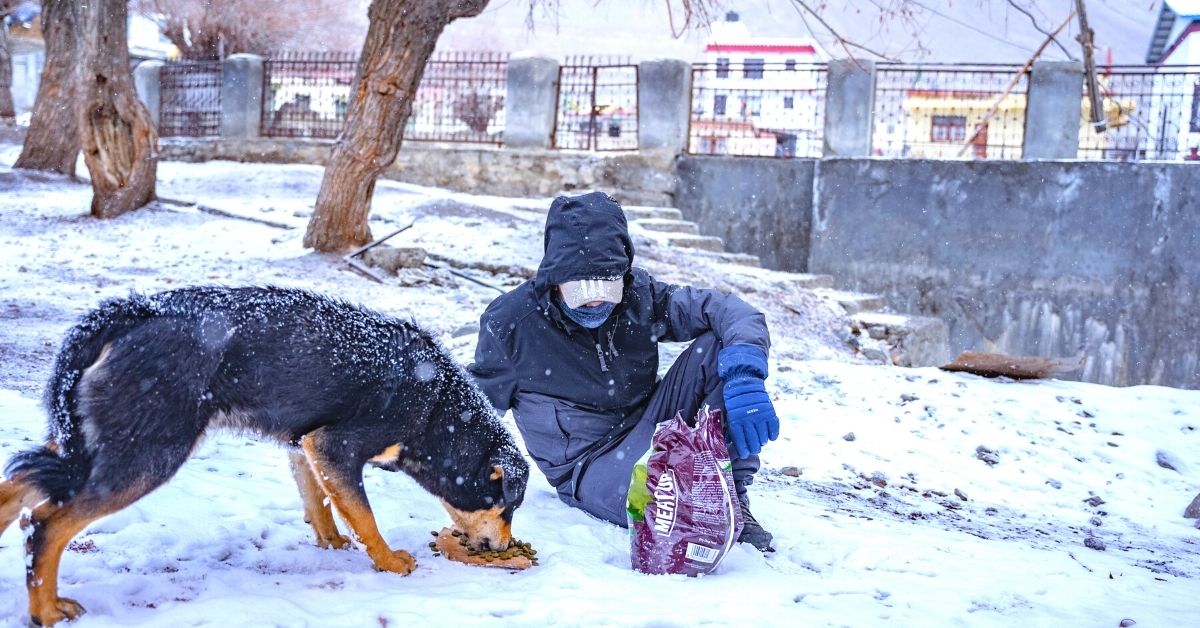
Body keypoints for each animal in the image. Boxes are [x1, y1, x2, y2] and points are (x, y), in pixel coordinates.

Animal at [0, 286, 528, 624]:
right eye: (507, 508)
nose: (505, 547)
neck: (438, 407)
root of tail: (137, 309)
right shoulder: (335, 447)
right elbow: (365, 516)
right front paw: (389, 562)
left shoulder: (305, 447)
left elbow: (322, 505)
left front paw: (332, 543)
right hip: (143, 457)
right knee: (45, 524)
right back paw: (45, 611)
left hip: (89, 443)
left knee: (18, 490)